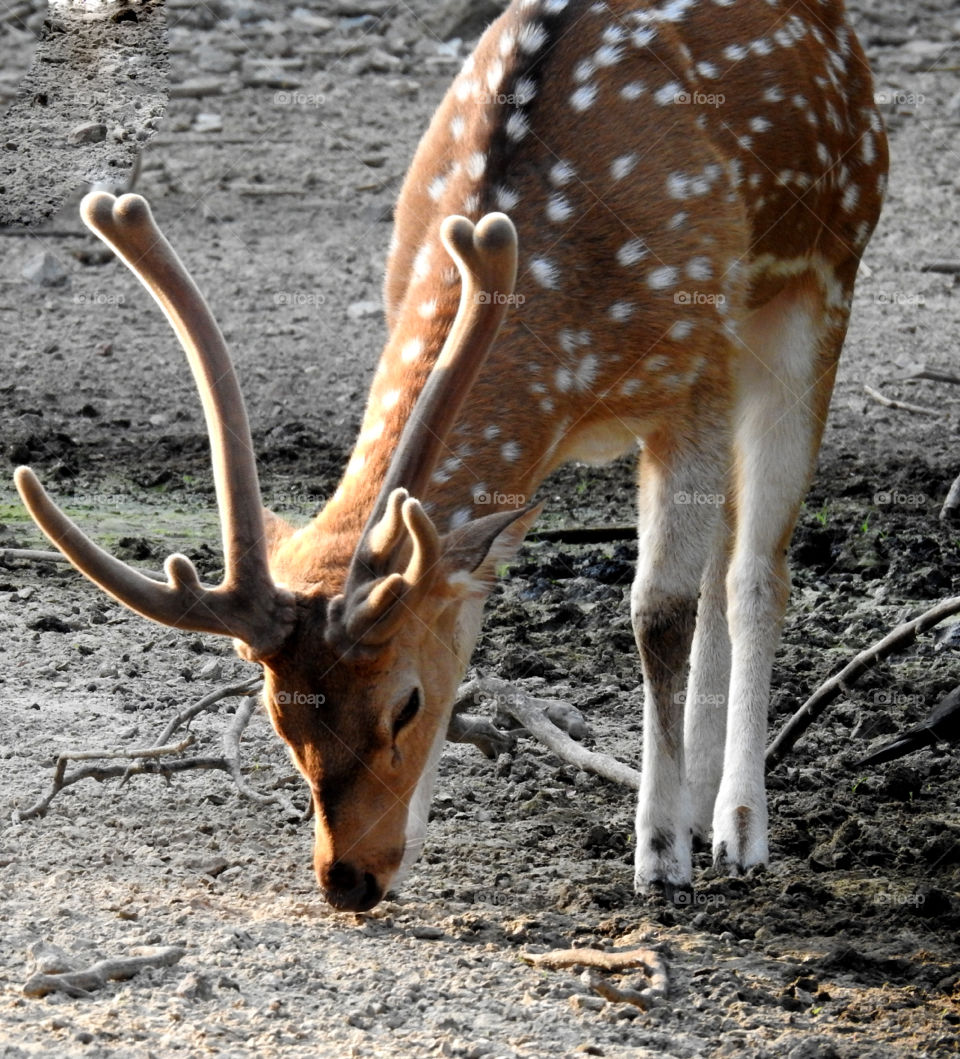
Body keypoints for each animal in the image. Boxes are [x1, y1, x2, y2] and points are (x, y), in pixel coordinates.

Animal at [15, 0, 884, 910]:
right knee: (725, 560)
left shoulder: (697, 363)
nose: (347, 878)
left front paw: (659, 850)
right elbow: (473, 610)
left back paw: (739, 824)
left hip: (822, 278)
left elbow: (658, 611)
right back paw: (710, 797)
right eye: (278, 715)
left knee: (754, 571)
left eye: (405, 704)